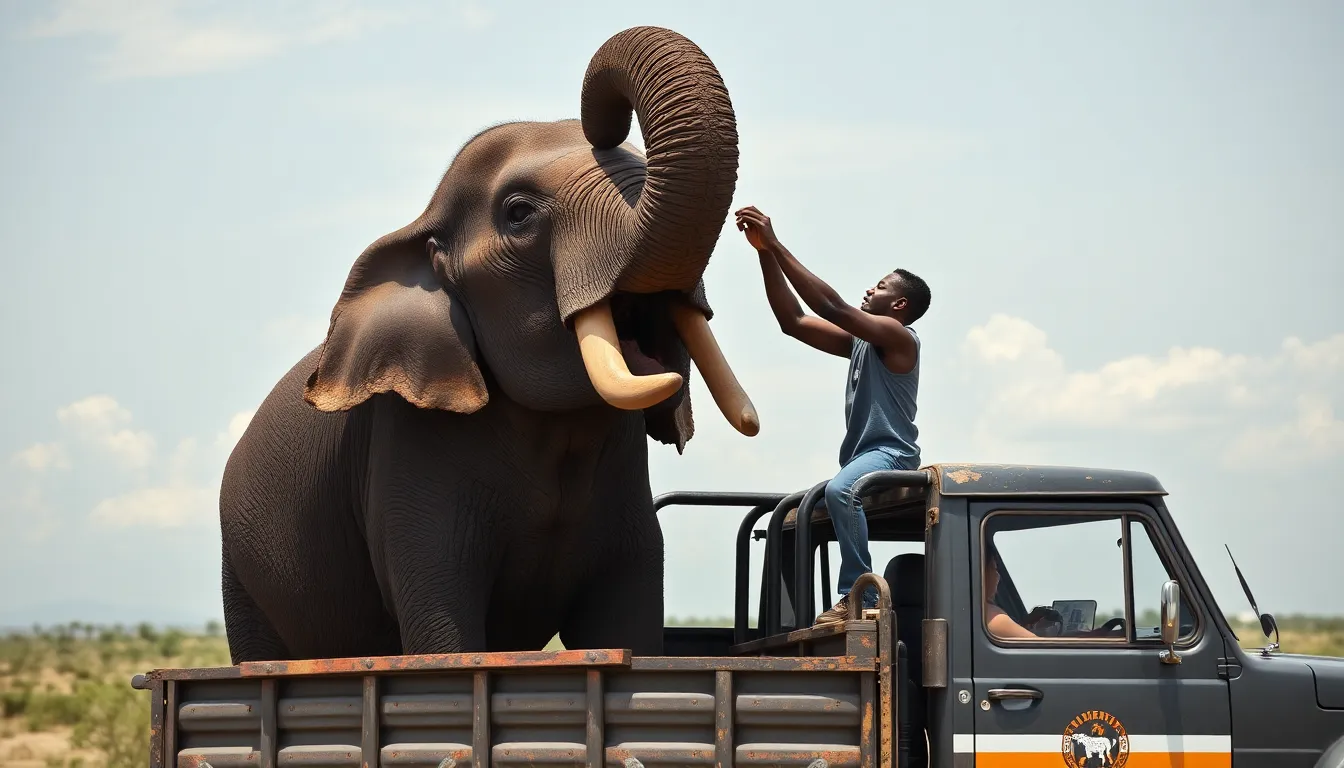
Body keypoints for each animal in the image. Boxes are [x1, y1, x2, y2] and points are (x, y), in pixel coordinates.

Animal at [217, 26, 759, 664]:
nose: (602, 120)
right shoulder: (409, 453)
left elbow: (626, 623)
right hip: (240, 572)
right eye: (518, 214)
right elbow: (442, 629)